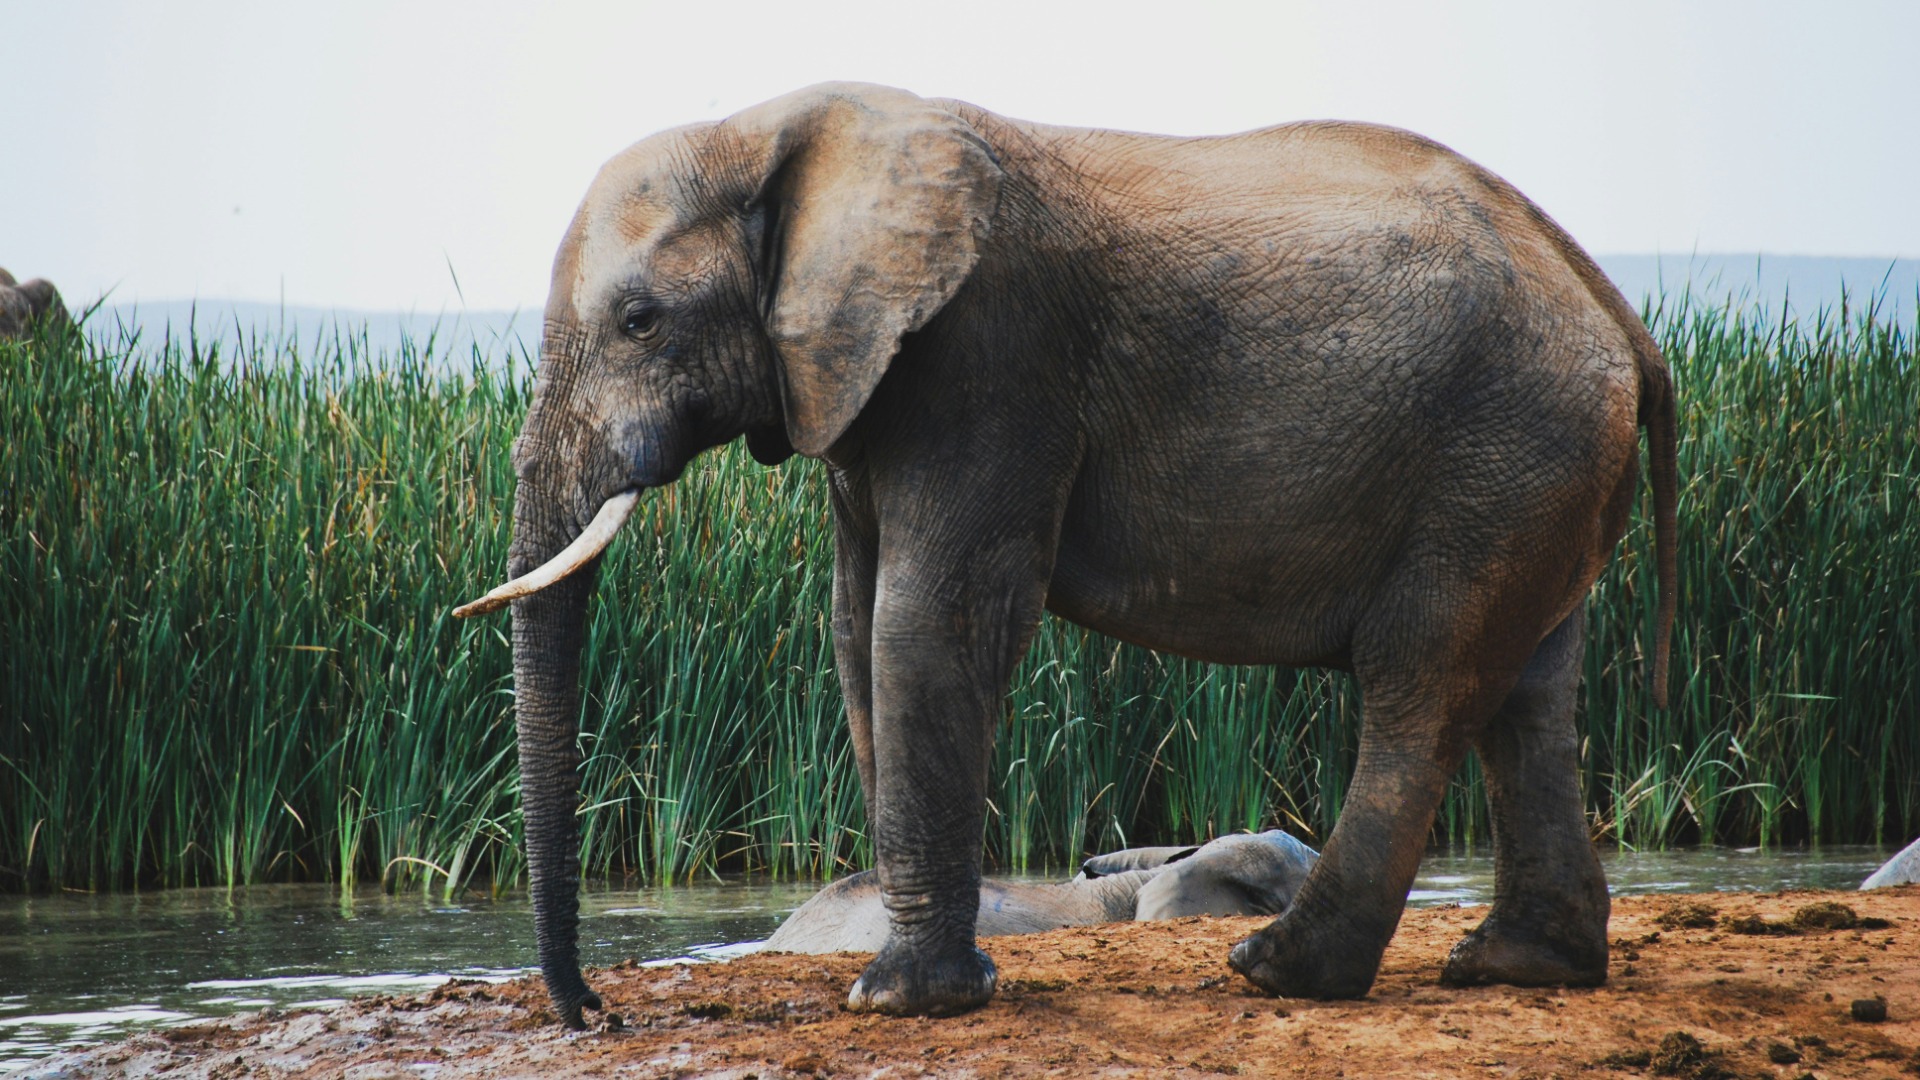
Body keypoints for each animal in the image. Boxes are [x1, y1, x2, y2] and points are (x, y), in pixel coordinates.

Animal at [453, 81, 1678, 1027]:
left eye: (640, 323)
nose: (595, 1013)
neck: (768, 128)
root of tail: (1621, 314)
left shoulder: (989, 356)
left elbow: (926, 620)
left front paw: (903, 1002)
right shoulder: (859, 381)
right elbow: (855, 624)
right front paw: (915, 983)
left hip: (1499, 448)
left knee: (1422, 686)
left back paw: (1279, 974)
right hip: (1539, 469)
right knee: (1529, 694)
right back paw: (1518, 967)